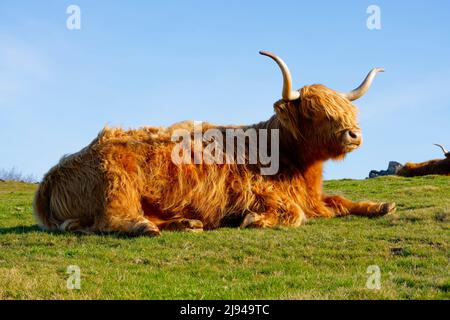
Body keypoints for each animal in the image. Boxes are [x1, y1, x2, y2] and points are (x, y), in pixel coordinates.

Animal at [33, 50, 396, 235]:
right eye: (313, 111)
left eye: (347, 109)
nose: (354, 134)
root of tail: (53, 173)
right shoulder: (258, 192)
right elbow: (295, 213)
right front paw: (254, 219)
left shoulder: (313, 197)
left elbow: (340, 201)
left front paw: (382, 206)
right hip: (116, 182)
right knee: (112, 219)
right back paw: (147, 228)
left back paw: (186, 223)